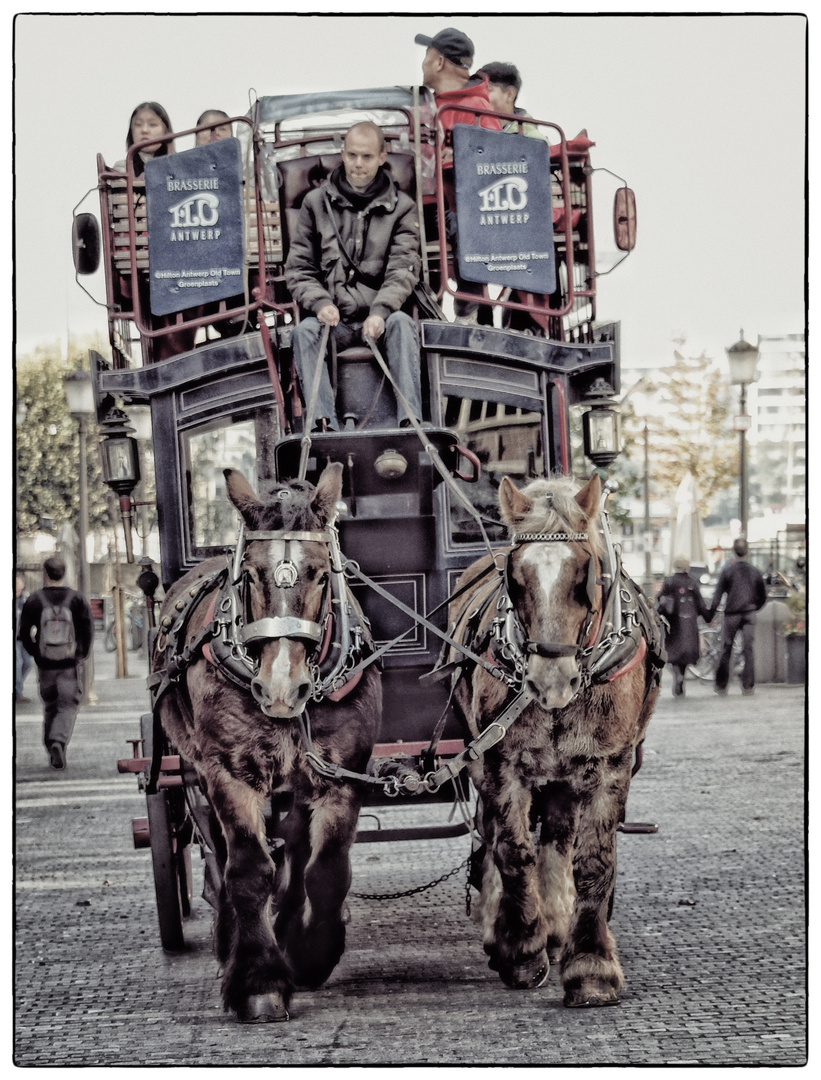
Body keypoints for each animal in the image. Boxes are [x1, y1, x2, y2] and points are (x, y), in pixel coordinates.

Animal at [151, 462, 382, 1019]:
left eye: (320, 573)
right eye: (252, 574)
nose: (280, 689)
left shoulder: (343, 771)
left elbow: (326, 871)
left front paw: (310, 952)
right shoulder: (230, 771)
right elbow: (249, 870)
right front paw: (258, 978)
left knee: (295, 846)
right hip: (192, 771)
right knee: (218, 854)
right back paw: (227, 939)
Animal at [445, 477, 665, 1006]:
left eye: (587, 576)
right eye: (516, 579)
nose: (550, 681)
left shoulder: (609, 766)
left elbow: (593, 861)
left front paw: (591, 965)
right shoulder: (499, 762)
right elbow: (513, 849)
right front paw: (522, 948)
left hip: (567, 774)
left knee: (560, 837)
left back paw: (560, 921)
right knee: (495, 835)